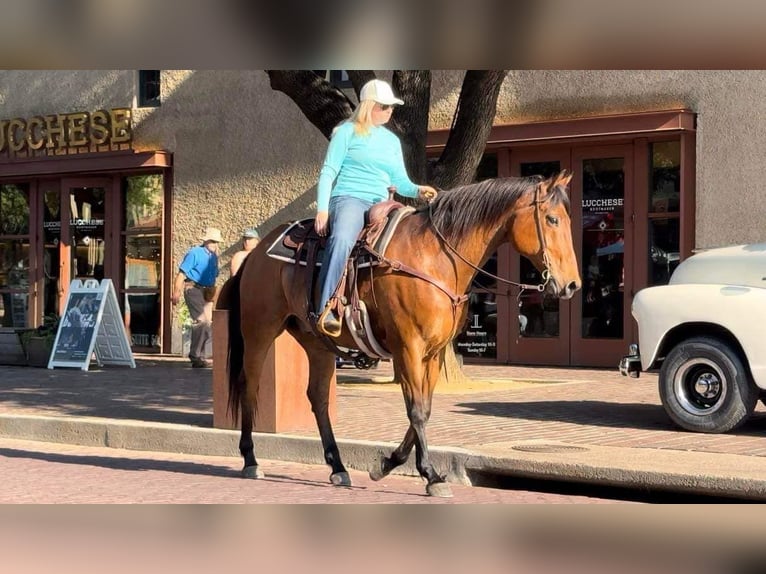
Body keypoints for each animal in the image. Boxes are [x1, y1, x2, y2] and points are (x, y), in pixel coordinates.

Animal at [216, 170, 581, 497]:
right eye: (552, 219)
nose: (572, 285)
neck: (435, 258)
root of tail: (256, 251)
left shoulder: (433, 352)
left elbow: (425, 408)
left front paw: (387, 464)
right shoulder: (408, 346)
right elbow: (416, 410)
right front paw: (431, 475)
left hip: (316, 343)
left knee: (317, 397)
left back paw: (338, 467)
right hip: (259, 330)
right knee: (250, 387)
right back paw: (250, 460)